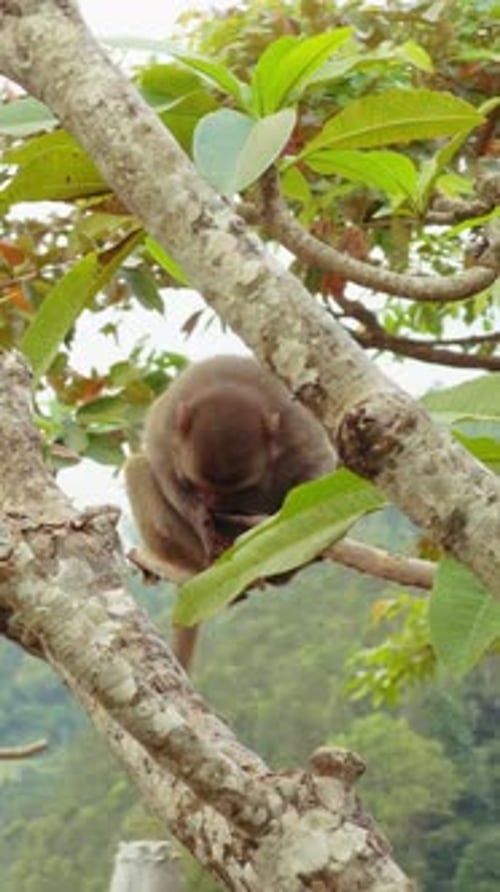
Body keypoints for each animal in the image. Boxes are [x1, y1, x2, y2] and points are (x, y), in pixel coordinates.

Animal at [125, 355, 336, 672]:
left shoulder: (295, 429)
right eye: (198, 485)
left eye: (237, 490)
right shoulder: (165, 426)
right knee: (137, 467)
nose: (213, 505)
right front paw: (199, 519)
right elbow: (161, 467)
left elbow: (320, 466)